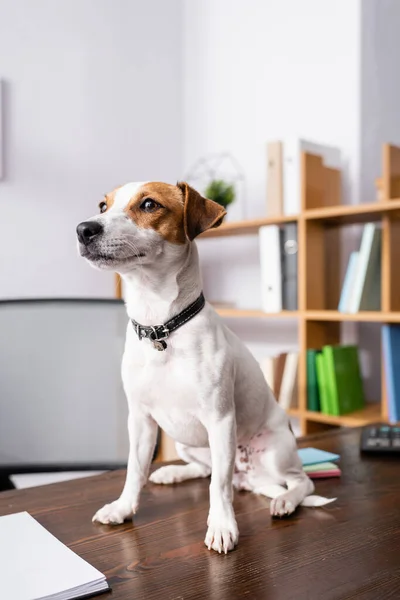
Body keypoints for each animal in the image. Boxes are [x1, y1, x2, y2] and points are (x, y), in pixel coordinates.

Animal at [76, 182, 332, 552]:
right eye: (102, 205)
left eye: (149, 204)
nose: (84, 229)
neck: (161, 326)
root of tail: (248, 477)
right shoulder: (140, 419)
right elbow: (134, 470)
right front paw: (123, 507)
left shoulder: (220, 420)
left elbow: (218, 488)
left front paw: (222, 526)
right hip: (185, 442)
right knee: (207, 471)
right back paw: (172, 472)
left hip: (275, 450)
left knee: (298, 482)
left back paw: (284, 500)